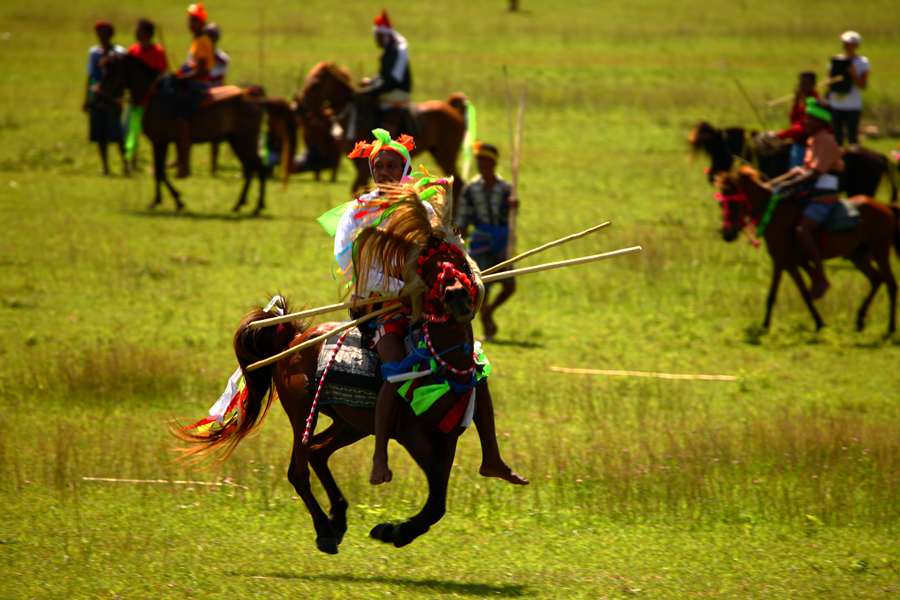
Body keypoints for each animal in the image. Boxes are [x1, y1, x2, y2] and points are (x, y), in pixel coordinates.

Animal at [172, 197, 488, 552]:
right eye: (428, 268)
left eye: (459, 260)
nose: (457, 296)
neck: (440, 363)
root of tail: (294, 339)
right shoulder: (413, 435)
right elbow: (435, 499)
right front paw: (393, 531)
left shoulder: (447, 439)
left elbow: (438, 503)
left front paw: (397, 531)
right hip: (301, 409)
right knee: (298, 469)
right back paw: (325, 528)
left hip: (352, 422)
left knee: (318, 451)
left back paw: (338, 516)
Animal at [688, 122, 892, 202]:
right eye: (710, 151)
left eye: (720, 151)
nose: (711, 176)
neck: (765, 154)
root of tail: (879, 156)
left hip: (862, 190)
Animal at [712, 165, 896, 332]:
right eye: (721, 203)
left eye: (735, 202)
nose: (727, 235)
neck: (776, 215)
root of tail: (886, 208)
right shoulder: (789, 264)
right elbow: (803, 293)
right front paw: (819, 323)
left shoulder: (781, 261)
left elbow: (775, 293)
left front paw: (764, 325)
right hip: (858, 255)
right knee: (877, 279)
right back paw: (860, 319)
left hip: (880, 250)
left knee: (891, 283)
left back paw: (890, 328)